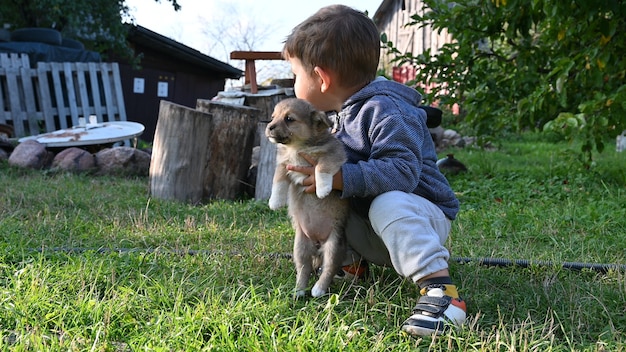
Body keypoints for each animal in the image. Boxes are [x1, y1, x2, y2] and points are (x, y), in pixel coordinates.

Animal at [264, 98, 348, 296]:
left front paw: (323, 188)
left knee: (329, 268)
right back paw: (299, 291)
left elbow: (322, 167)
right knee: (304, 268)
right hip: (300, 247)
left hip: (333, 246)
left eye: (289, 119)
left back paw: (318, 289)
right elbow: (278, 180)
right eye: (273, 117)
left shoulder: (333, 156)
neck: (297, 147)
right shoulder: (283, 164)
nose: (269, 127)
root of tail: (317, 242)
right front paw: (275, 202)